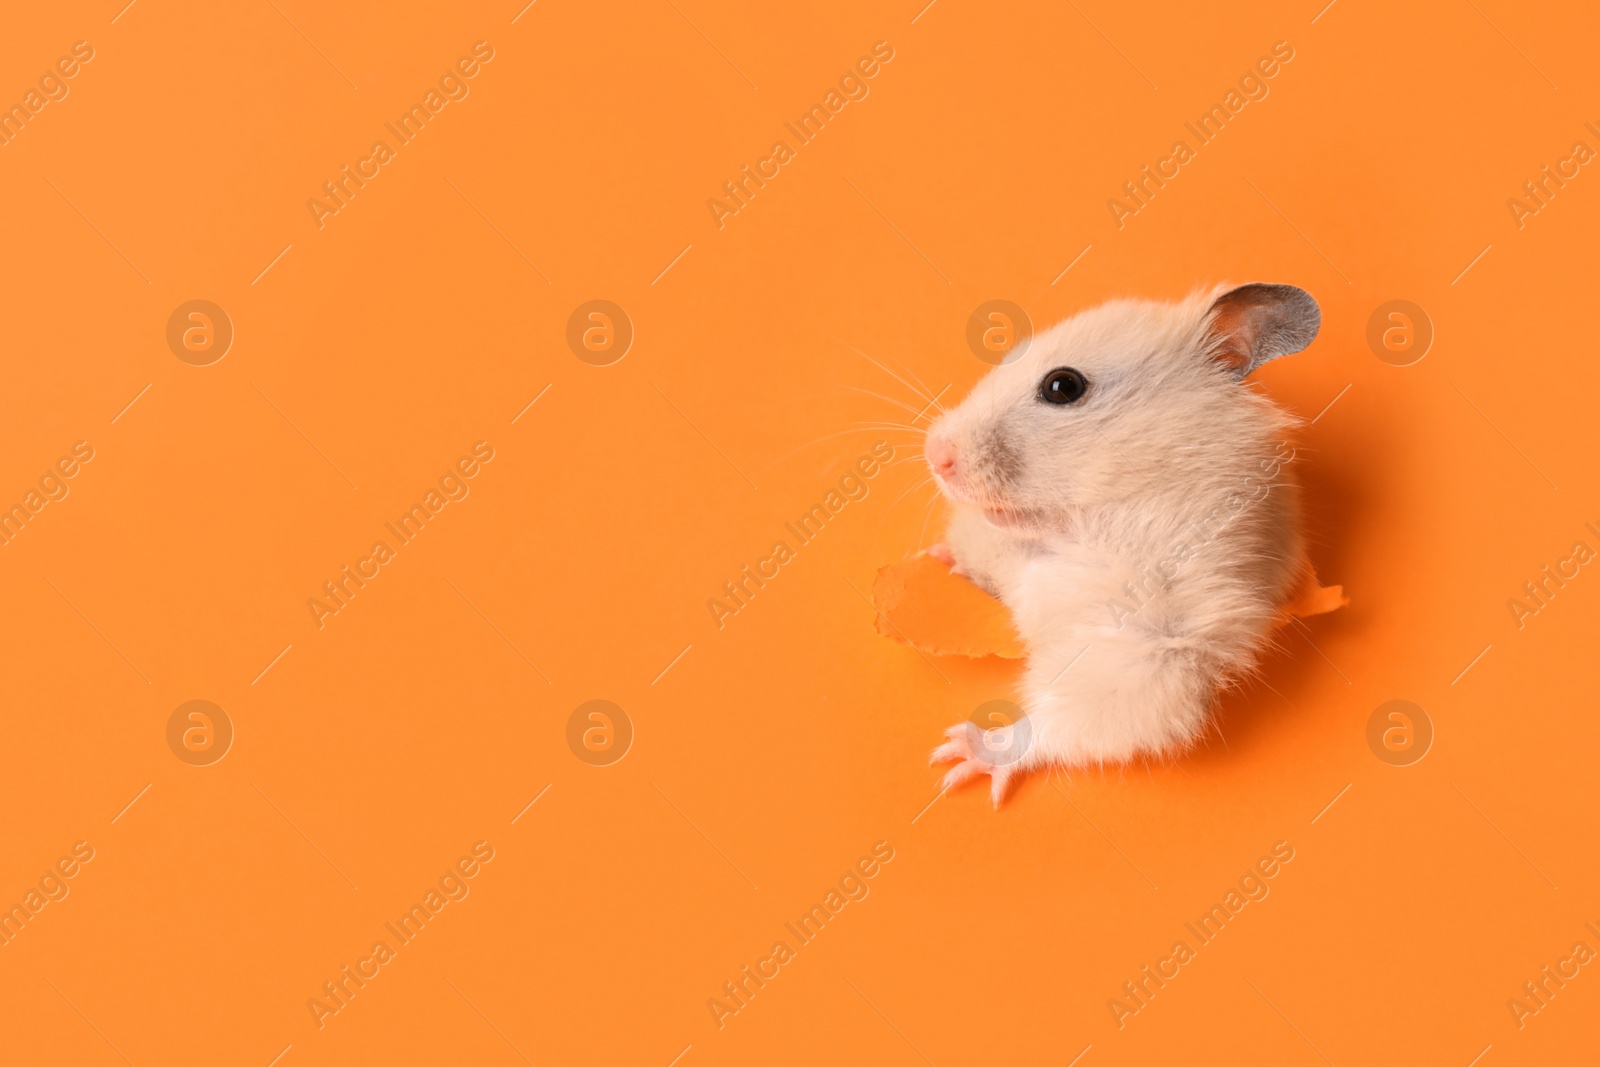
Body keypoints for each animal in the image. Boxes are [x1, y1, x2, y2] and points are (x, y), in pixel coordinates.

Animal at [928, 283, 1324, 809]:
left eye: (1062, 386)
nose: (935, 454)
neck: (1088, 522)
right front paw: (940, 557)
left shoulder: (1159, 644)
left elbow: (1065, 718)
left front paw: (958, 755)